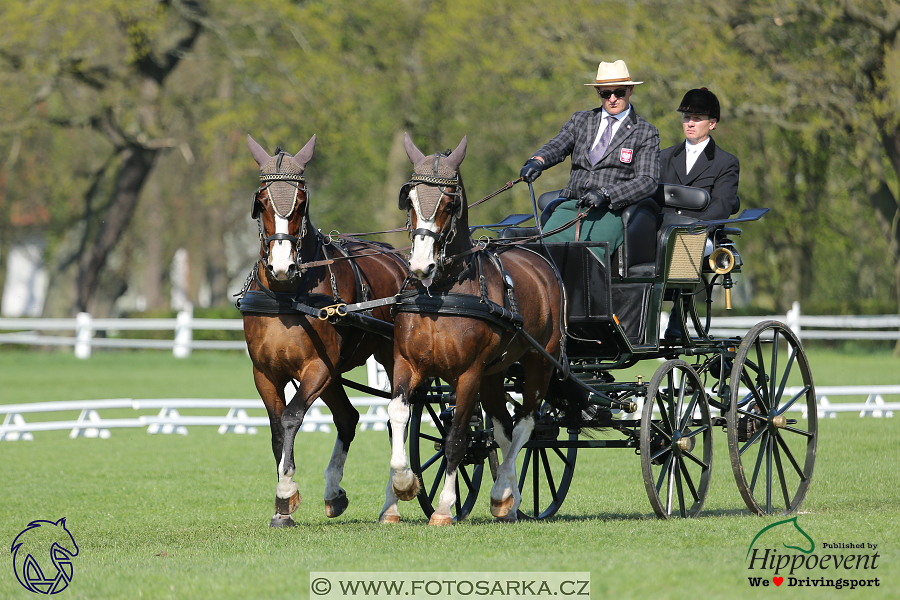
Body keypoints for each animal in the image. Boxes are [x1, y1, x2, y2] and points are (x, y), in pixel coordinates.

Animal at [239, 135, 408, 524]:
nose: (282, 266)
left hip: (390, 358)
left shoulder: (316, 366)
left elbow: (291, 417)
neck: (287, 296)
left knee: (398, 419)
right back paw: (334, 492)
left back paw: (392, 502)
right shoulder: (265, 372)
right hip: (333, 375)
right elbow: (276, 428)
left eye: (301, 203)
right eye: (262, 202)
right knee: (348, 418)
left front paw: (286, 493)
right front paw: (283, 508)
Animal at [384, 132, 568, 524]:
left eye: (448, 203)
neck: (442, 293)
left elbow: (456, 438)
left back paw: (501, 493)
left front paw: (443, 508)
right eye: (410, 198)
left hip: (538, 362)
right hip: (495, 373)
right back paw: (508, 498)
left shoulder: (468, 374)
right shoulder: (407, 363)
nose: (421, 265)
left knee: (526, 424)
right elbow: (398, 415)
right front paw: (404, 483)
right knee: (504, 429)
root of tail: (539, 259)